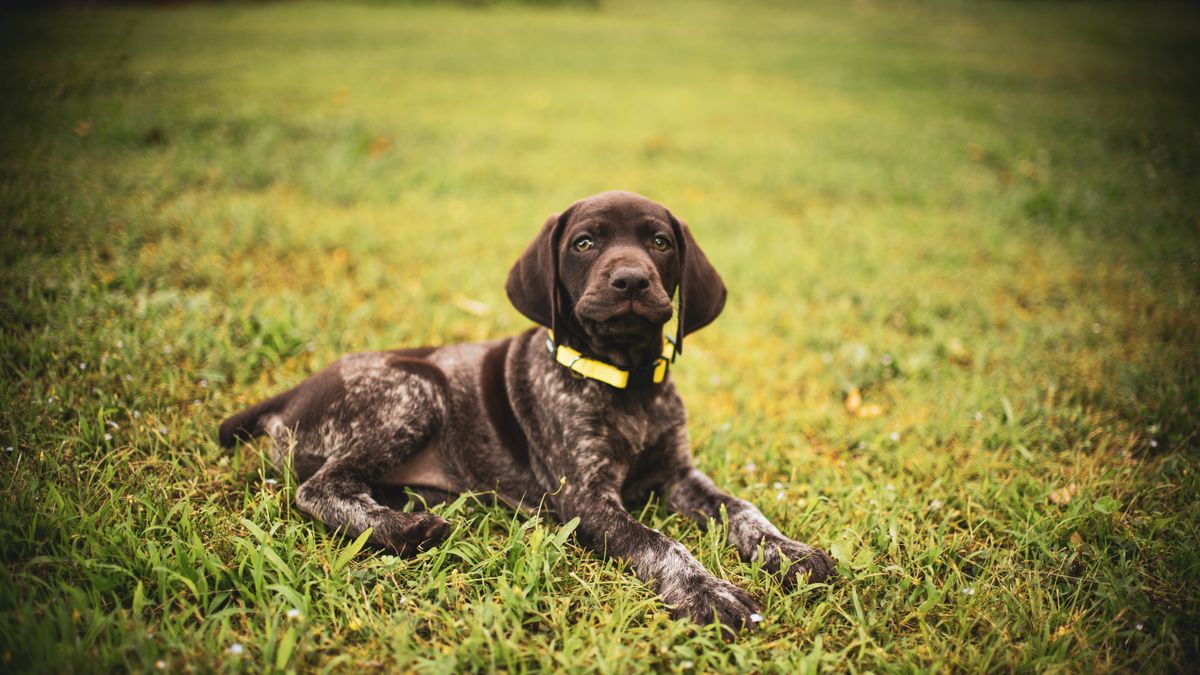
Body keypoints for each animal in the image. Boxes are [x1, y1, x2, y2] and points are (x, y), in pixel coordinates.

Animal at [218, 189, 835, 629]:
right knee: (319, 486)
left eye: (660, 242)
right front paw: (708, 591)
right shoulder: (586, 498)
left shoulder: (680, 475)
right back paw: (407, 530)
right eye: (584, 244)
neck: (628, 382)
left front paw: (791, 552)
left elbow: (745, 509)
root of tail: (290, 392)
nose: (631, 280)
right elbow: (660, 543)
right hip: (415, 388)